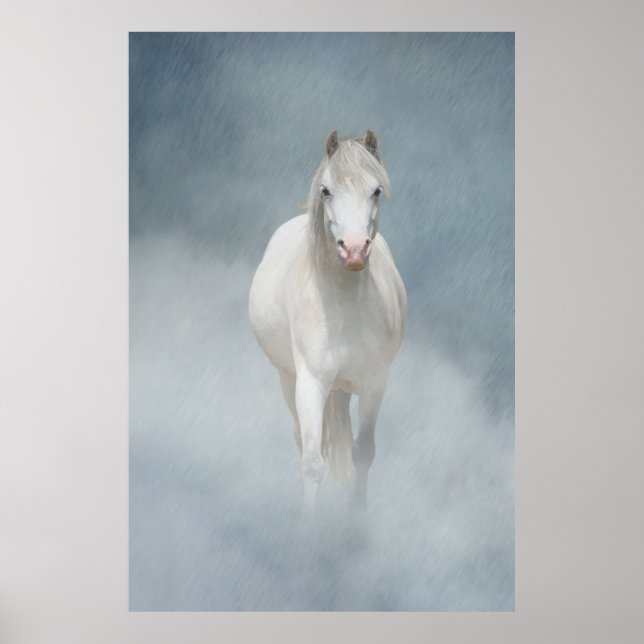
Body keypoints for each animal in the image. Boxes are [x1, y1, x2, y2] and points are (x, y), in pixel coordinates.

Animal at [249, 130, 407, 513]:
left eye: (376, 190)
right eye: (326, 190)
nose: (354, 250)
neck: (345, 308)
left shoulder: (375, 382)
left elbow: (362, 454)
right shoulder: (310, 383)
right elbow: (313, 461)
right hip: (289, 380)